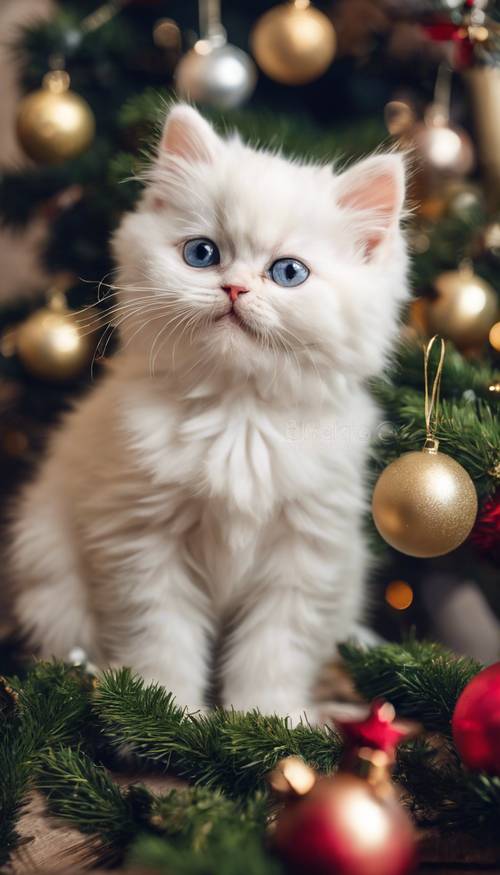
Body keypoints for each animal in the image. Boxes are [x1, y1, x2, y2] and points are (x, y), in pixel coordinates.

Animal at [8, 106, 406, 724]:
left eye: (288, 273)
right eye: (202, 254)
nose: (235, 288)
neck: (238, 414)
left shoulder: (304, 555)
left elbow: (273, 652)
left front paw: (268, 721)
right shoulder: (141, 544)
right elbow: (161, 642)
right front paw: (165, 715)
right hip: (49, 580)